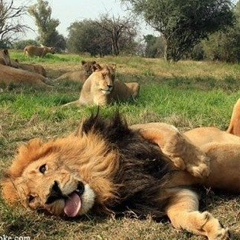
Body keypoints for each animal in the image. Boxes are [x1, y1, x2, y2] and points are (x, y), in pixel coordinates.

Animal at [3, 97, 240, 238]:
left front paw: (199, 164)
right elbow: (179, 216)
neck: (108, 178)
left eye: (43, 168)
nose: (51, 194)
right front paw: (209, 227)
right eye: (32, 199)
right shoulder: (173, 193)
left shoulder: (135, 132)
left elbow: (171, 135)